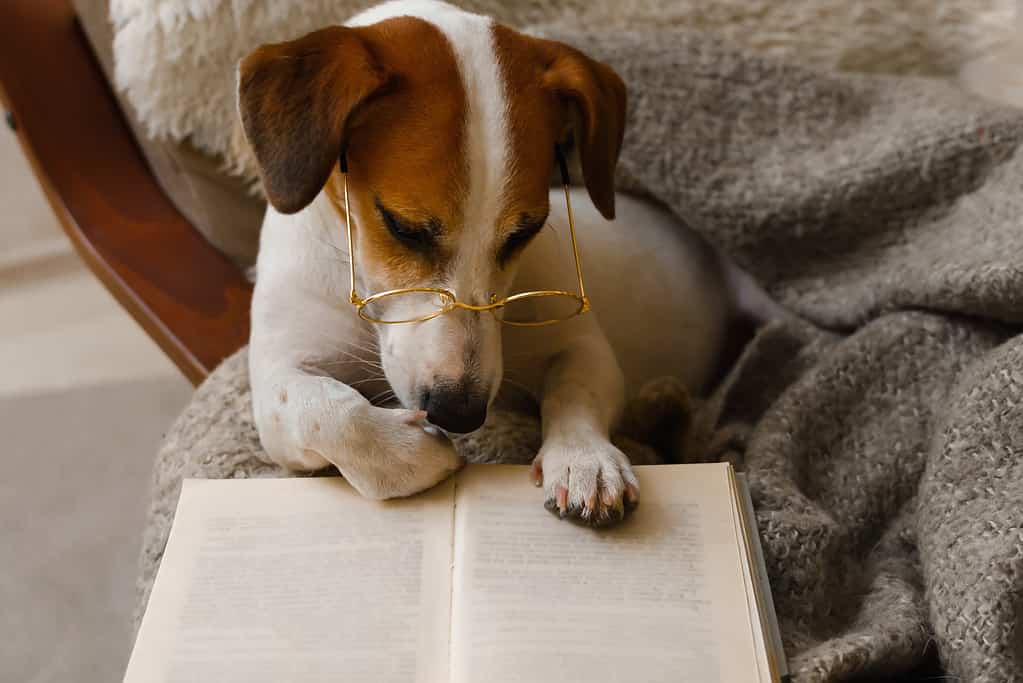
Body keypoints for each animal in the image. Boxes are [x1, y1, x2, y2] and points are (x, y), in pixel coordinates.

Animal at [237, 0, 752, 527]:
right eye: (402, 227)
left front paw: (584, 459)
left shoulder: (580, 344)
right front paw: (404, 451)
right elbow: (324, 410)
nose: (459, 413)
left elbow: (576, 389)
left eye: (524, 231)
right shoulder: (278, 370)